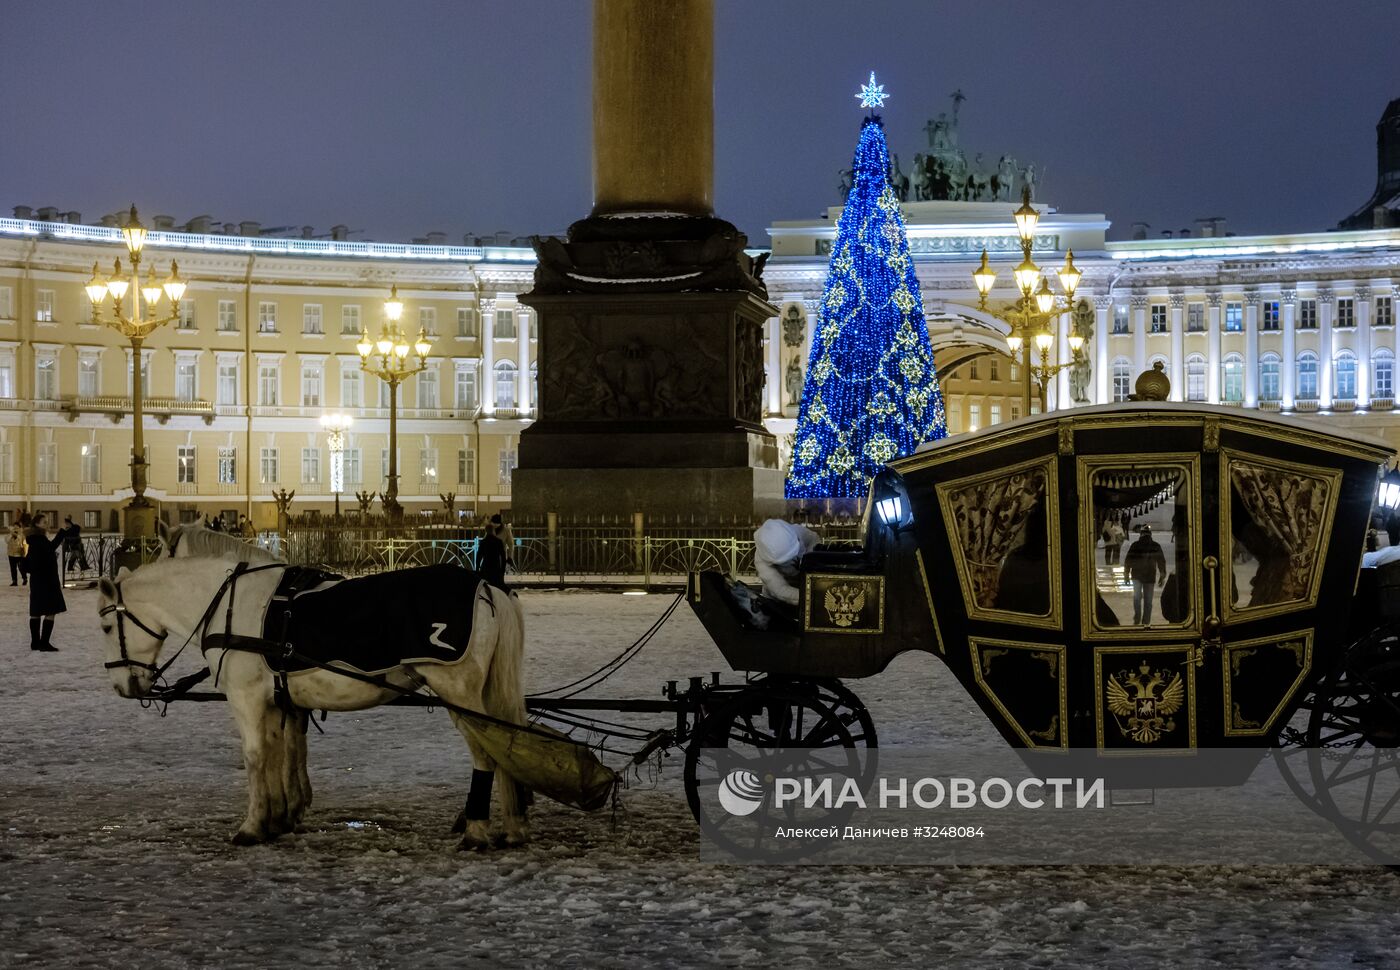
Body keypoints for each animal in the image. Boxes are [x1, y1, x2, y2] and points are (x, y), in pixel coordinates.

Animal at [94, 551, 529, 845]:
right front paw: (277, 818)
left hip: (459, 693)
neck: (230, 606)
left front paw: (251, 826)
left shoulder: (246, 699)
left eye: (104, 627)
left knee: (486, 754)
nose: (121, 686)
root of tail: (486, 586)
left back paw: (476, 829)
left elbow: (255, 757)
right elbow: (279, 753)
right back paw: (510, 824)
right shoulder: (277, 701)